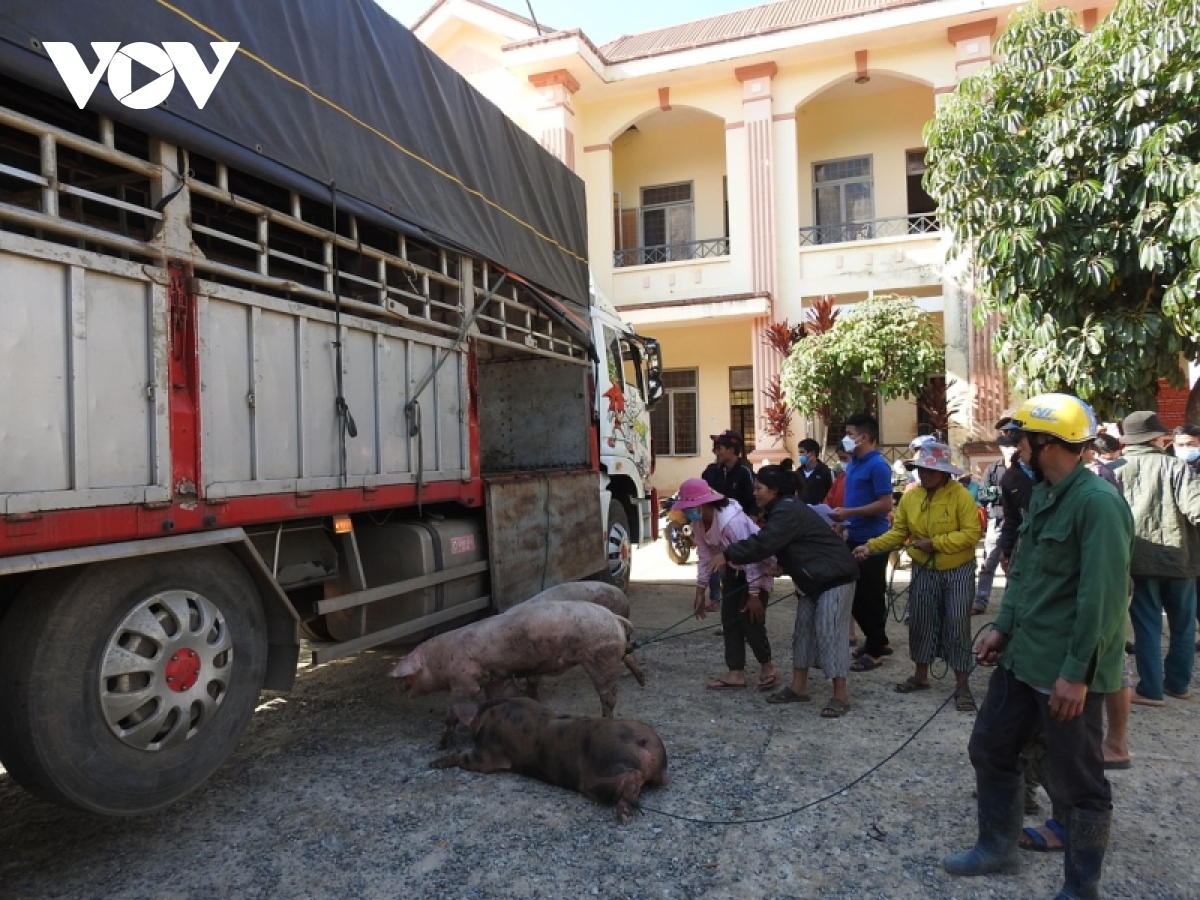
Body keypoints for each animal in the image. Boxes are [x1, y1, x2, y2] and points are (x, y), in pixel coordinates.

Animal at [388, 600, 643, 748]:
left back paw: (607, 718)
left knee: (609, 695)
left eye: (409, 675)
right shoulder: (494, 677)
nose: (395, 684)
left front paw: (440, 745)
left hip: (601, 656)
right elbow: (493, 697)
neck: (441, 659)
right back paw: (641, 680)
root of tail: (614, 617)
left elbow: (453, 711)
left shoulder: (464, 682)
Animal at [432, 696, 672, 825]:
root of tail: (641, 741)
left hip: (599, 774)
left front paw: (433, 763)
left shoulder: (487, 754)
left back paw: (624, 817)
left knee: (630, 779)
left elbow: (468, 758)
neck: (487, 711)